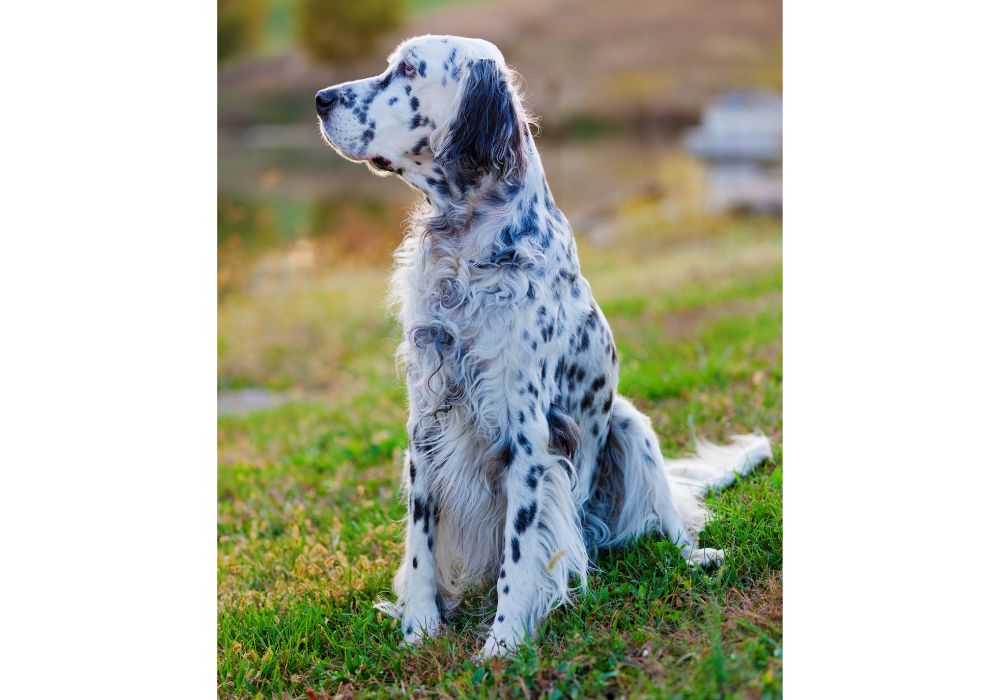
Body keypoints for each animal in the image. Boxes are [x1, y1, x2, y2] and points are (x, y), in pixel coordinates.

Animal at [316, 34, 768, 656]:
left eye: (407, 69)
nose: (320, 99)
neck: (469, 249)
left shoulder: (527, 435)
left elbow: (519, 551)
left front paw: (503, 644)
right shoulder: (425, 422)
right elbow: (420, 543)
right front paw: (420, 628)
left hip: (633, 427)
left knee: (670, 519)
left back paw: (697, 554)